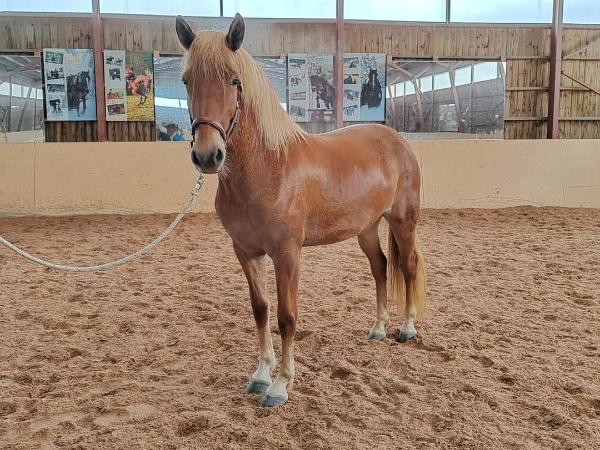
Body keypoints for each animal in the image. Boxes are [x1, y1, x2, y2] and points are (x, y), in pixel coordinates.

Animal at [176, 14, 426, 408]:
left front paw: (281, 385)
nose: (207, 155)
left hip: (403, 221)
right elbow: (261, 310)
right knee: (381, 268)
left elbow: (286, 316)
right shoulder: (246, 252)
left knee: (409, 265)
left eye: (235, 80)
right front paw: (261, 375)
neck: (268, 167)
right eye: (187, 80)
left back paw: (407, 329)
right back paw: (378, 329)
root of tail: (399, 141)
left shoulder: (287, 253)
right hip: (367, 229)